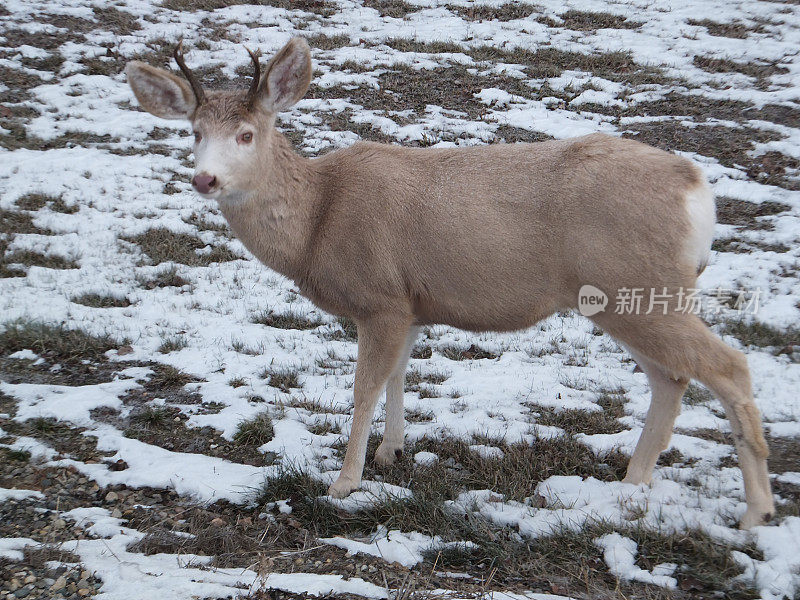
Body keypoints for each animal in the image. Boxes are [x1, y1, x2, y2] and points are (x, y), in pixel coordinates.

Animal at [126, 37, 776, 528]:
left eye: (246, 134)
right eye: (193, 132)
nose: (205, 179)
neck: (318, 221)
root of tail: (698, 190)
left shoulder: (379, 295)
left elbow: (365, 387)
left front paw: (345, 480)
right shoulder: (410, 302)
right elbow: (399, 375)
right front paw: (391, 451)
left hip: (635, 286)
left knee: (728, 365)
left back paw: (755, 513)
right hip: (627, 295)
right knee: (673, 377)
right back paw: (632, 484)